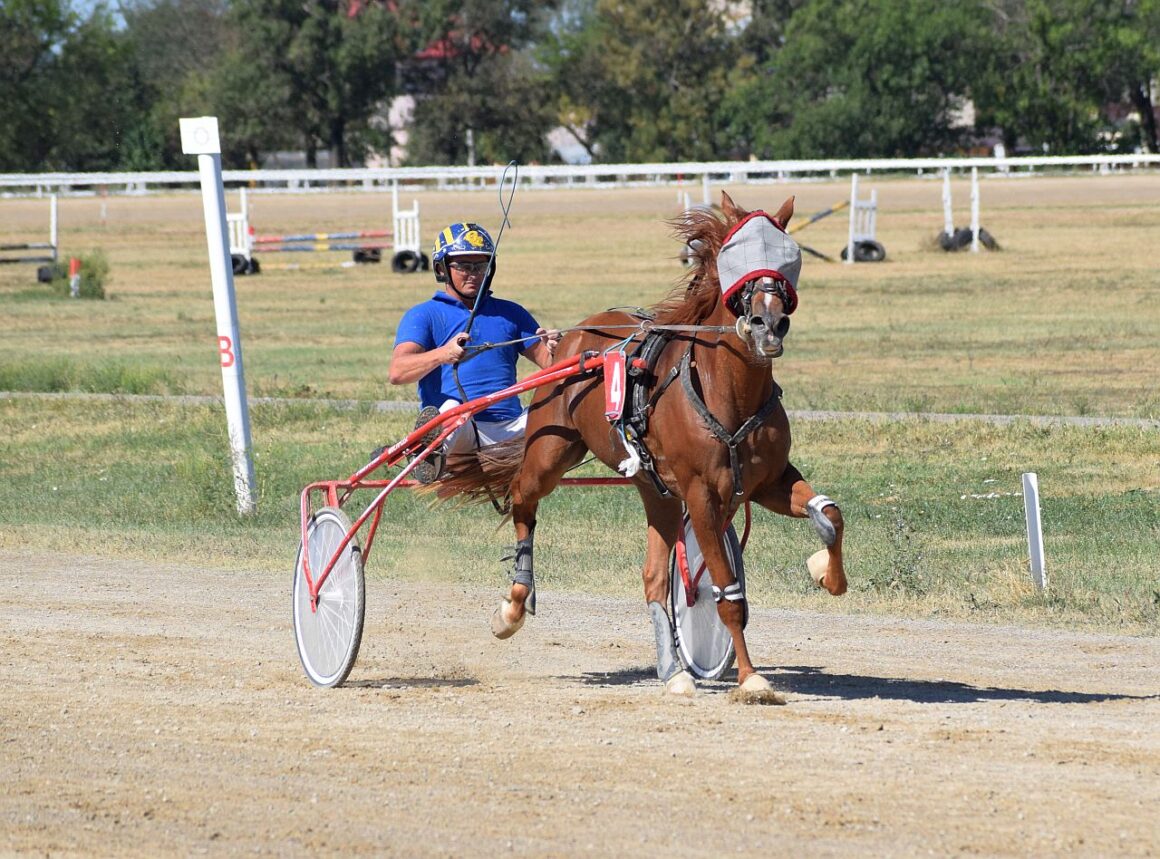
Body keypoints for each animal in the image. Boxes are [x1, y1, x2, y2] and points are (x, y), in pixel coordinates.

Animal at [438, 192, 849, 695]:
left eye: (787, 257)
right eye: (736, 254)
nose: (767, 323)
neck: (727, 389)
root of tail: (579, 334)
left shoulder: (768, 481)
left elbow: (830, 515)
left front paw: (827, 573)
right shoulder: (702, 494)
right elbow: (728, 593)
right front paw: (751, 678)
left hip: (657, 491)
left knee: (653, 576)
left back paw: (673, 671)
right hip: (551, 451)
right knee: (522, 499)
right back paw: (513, 606)